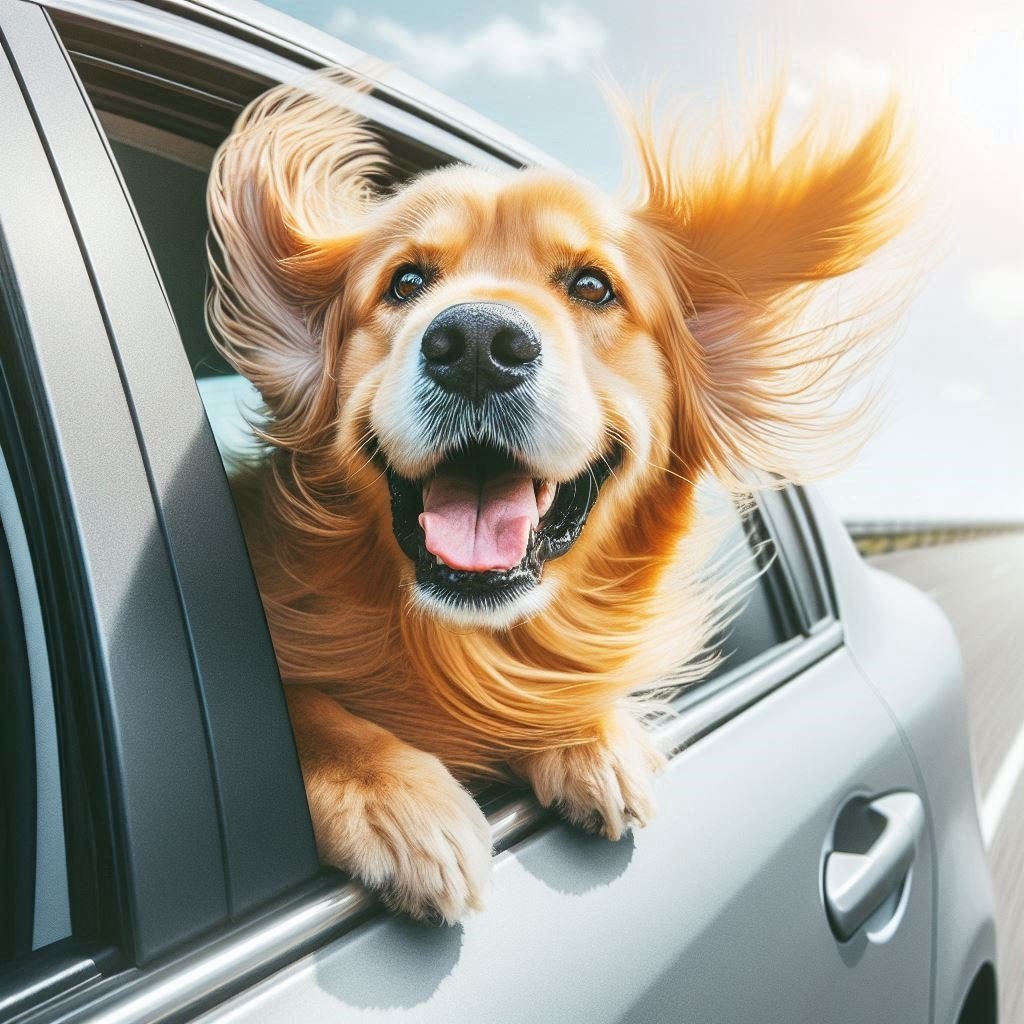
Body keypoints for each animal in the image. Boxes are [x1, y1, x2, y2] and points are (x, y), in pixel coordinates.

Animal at [205, 72, 905, 921]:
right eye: (407, 281)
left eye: (592, 286)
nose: (476, 345)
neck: (452, 641)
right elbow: (302, 710)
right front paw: (399, 800)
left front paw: (591, 734)